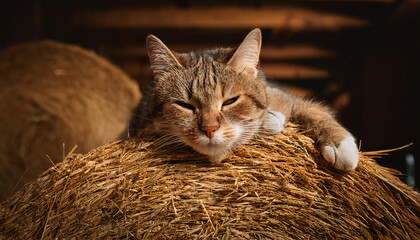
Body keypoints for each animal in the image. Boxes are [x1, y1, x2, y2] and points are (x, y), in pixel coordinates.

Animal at [130, 28, 360, 171]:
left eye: (230, 101)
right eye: (185, 105)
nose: (209, 129)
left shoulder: (295, 101)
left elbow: (316, 112)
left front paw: (342, 145)